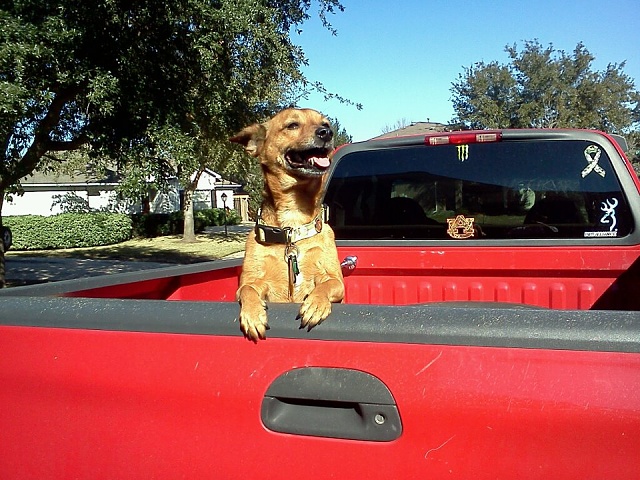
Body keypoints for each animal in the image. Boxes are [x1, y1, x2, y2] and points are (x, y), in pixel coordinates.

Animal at [228, 109, 342, 342]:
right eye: (292, 125)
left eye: (325, 123)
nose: (327, 132)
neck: (292, 228)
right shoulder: (252, 282)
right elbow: (247, 290)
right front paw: (253, 314)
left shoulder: (336, 281)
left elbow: (326, 285)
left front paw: (315, 303)